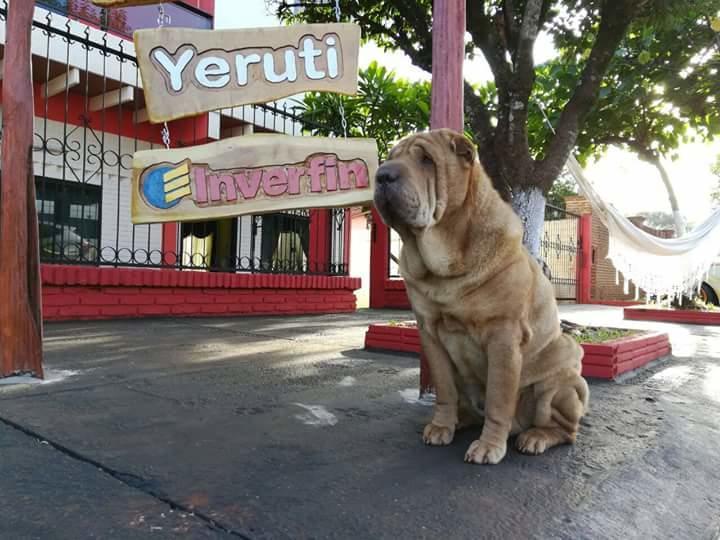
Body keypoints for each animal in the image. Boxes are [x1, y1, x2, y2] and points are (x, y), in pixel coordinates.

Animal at [374, 130, 588, 464]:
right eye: (390, 158)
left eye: (426, 160)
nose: (382, 175)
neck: (445, 265)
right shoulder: (430, 334)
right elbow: (444, 391)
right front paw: (442, 426)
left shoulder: (503, 336)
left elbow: (499, 400)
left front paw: (489, 446)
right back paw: (461, 419)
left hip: (560, 379)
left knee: (566, 430)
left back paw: (536, 437)